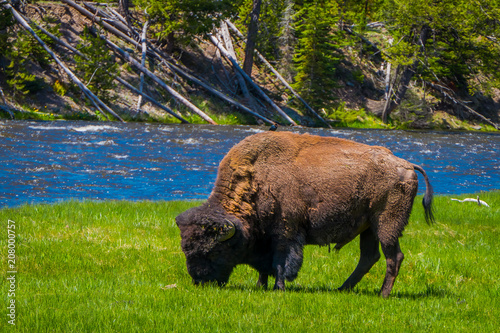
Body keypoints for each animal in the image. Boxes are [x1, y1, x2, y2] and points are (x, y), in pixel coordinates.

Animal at [177, 130, 434, 296]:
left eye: (212, 250)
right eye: (186, 249)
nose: (199, 280)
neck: (256, 180)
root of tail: (407, 165)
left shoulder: (286, 232)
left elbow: (281, 262)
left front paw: (278, 289)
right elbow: (265, 267)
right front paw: (261, 286)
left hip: (386, 224)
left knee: (393, 257)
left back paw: (383, 294)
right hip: (369, 227)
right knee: (369, 257)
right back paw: (343, 289)